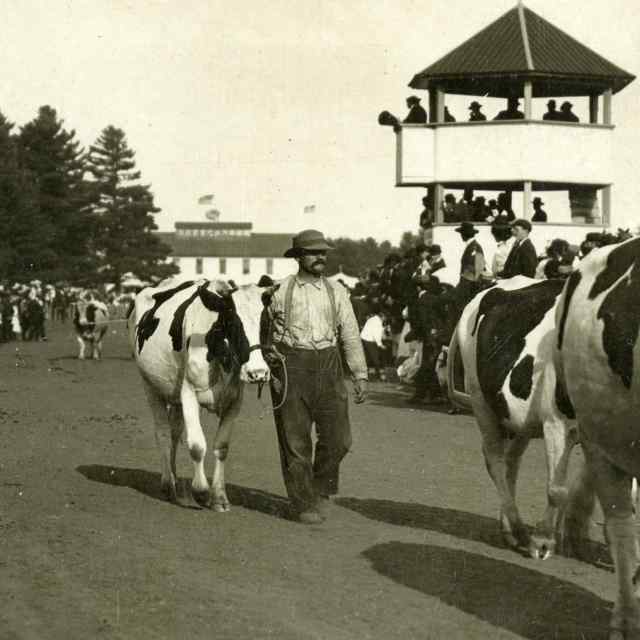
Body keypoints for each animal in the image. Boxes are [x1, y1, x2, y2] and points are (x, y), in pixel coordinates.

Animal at [127, 278, 270, 512]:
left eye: (266, 323)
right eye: (232, 322)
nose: (258, 373)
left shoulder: (234, 401)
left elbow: (221, 447)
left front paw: (219, 496)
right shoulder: (189, 393)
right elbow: (196, 446)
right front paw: (201, 492)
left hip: (174, 394)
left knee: (174, 433)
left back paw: (174, 477)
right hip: (149, 385)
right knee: (163, 432)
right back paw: (167, 484)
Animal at [450, 276, 580, 560]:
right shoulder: (556, 422)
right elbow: (557, 490)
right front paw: (543, 540)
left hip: (520, 420)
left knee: (511, 461)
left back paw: (508, 528)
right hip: (481, 401)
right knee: (495, 460)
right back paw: (519, 530)